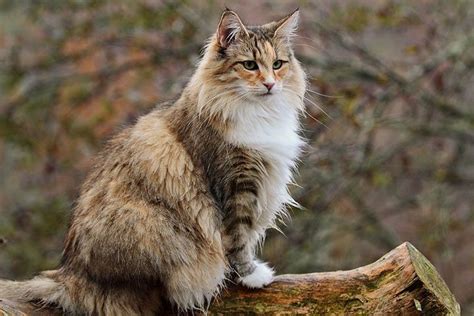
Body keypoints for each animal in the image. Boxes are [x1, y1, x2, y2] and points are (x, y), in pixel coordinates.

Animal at [0, 8, 308, 314]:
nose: (270, 84)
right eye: (250, 65)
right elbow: (238, 239)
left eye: (277, 64)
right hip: (153, 225)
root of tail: (71, 274)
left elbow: (245, 237)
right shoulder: (234, 186)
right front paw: (251, 275)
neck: (259, 114)